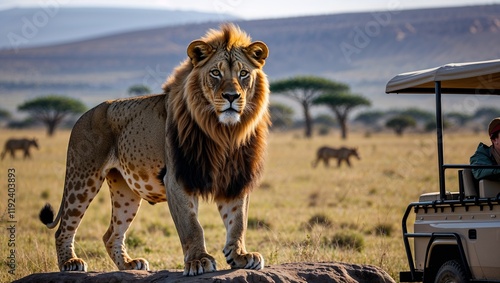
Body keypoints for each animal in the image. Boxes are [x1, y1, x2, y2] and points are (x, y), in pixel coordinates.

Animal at [39, 24, 272, 278]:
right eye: (215, 73)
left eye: (244, 74)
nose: (231, 96)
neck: (224, 131)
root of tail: (84, 114)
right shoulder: (178, 178)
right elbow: (192, 226)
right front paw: (199, 260)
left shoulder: (236, 177)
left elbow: (238, 221)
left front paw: (240, 256)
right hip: (82, 178)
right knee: (64, 228)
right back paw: (70, 262)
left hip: (125, 191)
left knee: (111, 234)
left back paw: (130, 265)